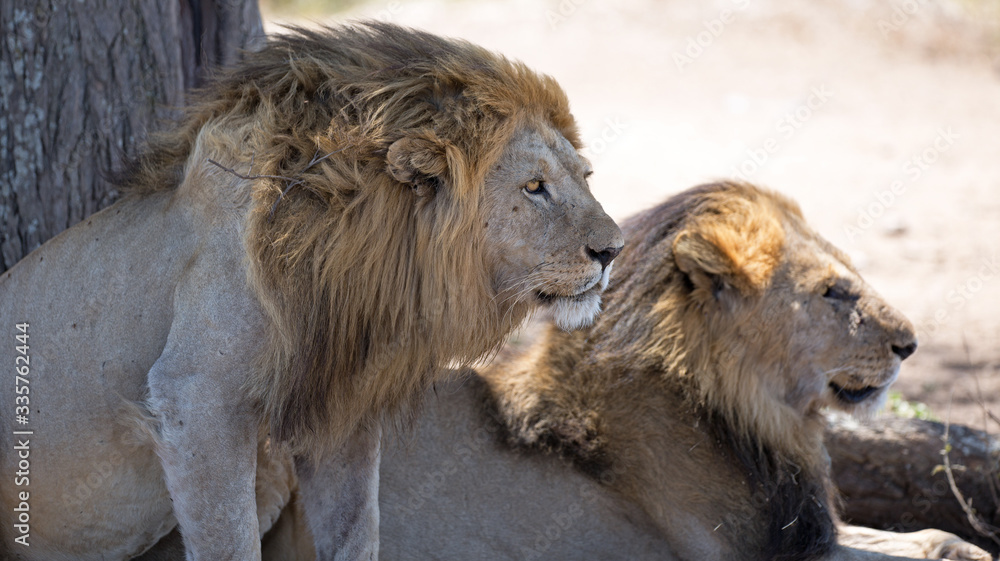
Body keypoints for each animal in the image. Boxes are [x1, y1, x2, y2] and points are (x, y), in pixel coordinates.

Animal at [0, 22, 623, 560]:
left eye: (585, 178)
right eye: (535, 187)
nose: (613, 250)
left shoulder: (340, 407)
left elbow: (357, 532)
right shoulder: (194, 400)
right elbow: (229, 542)